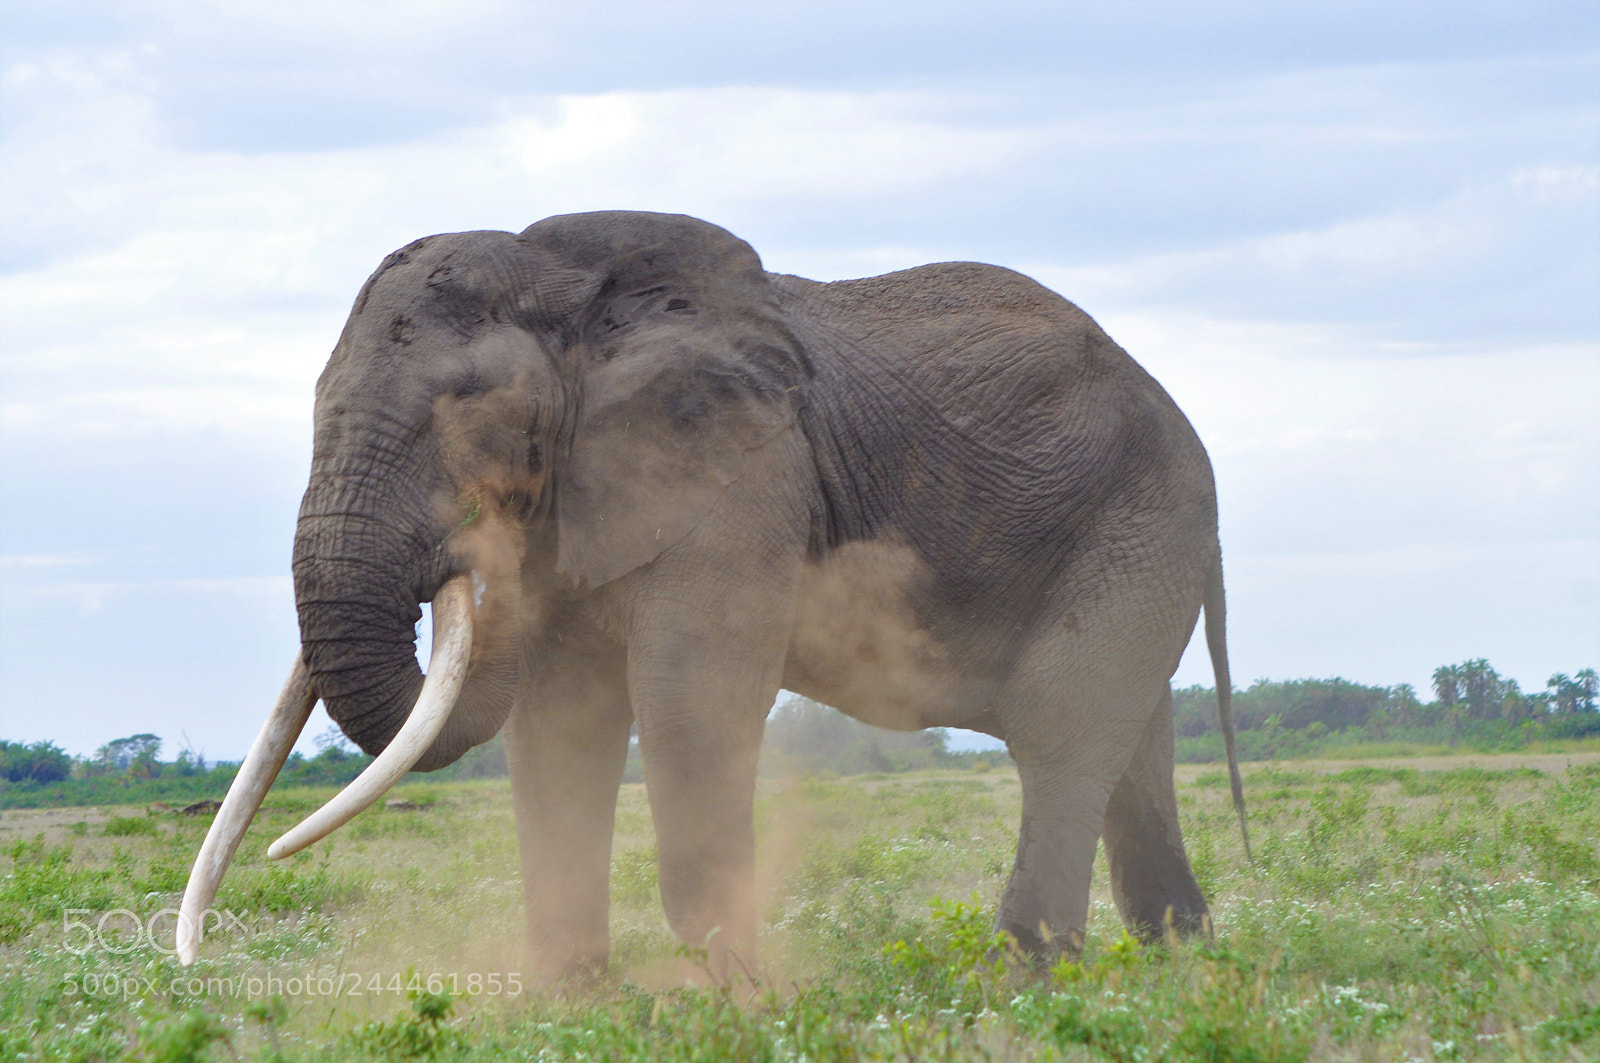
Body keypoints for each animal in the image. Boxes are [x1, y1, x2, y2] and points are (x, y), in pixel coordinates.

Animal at [177, 210, 1247, 981]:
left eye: (467, 408)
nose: (472, 545)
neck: (570, 287)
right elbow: (560, 719)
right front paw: (573, 1000)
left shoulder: (740, 475)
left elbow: (690, 698)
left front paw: (730, 995)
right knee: (1130, 742)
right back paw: (1181, 964)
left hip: (1145, 514)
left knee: (1060, 731)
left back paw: (1024, 978)